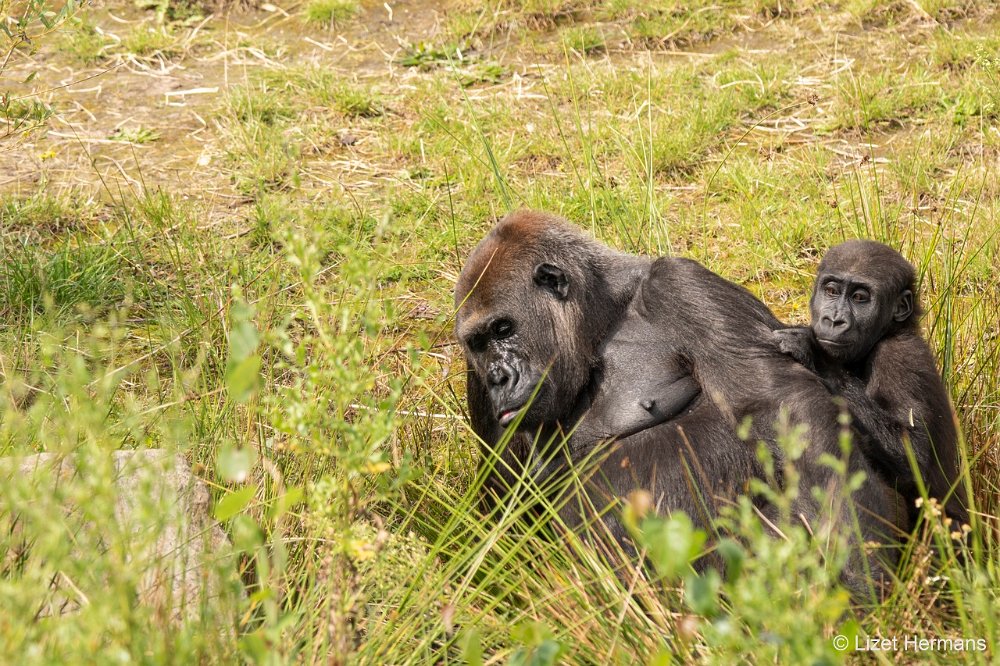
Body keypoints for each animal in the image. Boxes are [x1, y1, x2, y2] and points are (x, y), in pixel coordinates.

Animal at [458, 210, 904, 592]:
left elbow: (782, 406)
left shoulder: (681, 284)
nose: (498, 378)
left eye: (503, 328)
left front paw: (863, 572)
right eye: (477, 343)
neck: (602, 318)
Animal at [772, 240, 968, 528]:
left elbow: (913, 454)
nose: (834, 320)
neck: (891, 330)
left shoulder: (898, 357)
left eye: (860, 298)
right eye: (831, 291)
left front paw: (818, 357)